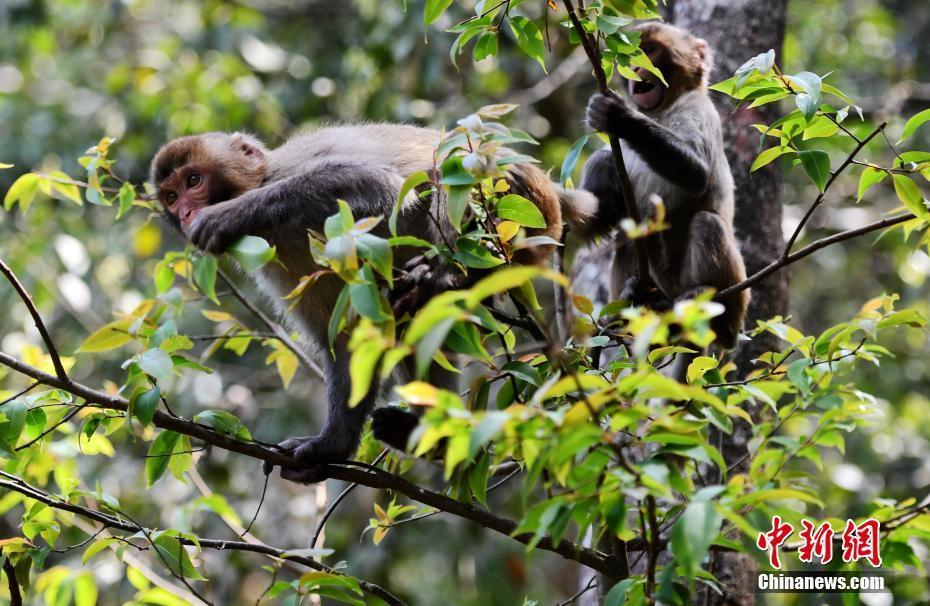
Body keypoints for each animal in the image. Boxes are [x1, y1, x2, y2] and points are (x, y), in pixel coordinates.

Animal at [149, 124, 600, 484]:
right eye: (170, 196)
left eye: (194, 180)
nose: (186, 213)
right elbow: (348, 339)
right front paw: (330, 446)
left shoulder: (289, 171)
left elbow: (375, 184)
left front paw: (226, 215)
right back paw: (437, 436)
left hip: (516, 205)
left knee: (454, 168)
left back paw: (445, 274)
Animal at [572, 22, 748, 352]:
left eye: (650, 50)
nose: (634, 67)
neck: (663, 111)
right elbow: (596, 221)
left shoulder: (700, 111)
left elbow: (696, 174)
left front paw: (619, 117)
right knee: (627, 236)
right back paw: (635, 301)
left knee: (707, 222)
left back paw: (715, 316)